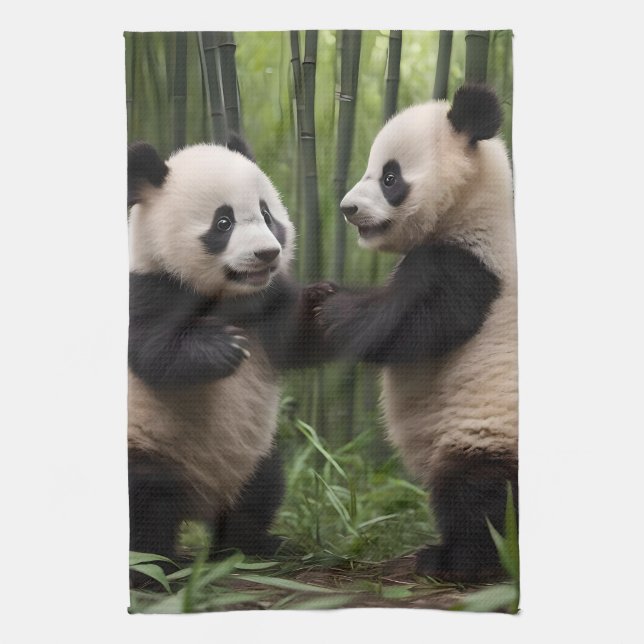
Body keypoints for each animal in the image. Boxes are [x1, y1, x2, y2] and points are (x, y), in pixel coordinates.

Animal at [127, 137, 331, 580]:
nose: (267, 254)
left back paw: (252, 546)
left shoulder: (265, 301)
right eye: (223, 223)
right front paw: (224, 348)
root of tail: (199, 500)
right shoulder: (146, 288)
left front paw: (321, 302)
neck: (227, 295)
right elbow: (153, 350)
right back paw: (152, 566)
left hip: (253, 454)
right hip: (150, 444)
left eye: (267, 215)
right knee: (145, 500)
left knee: (261, 491)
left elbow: (295, 340)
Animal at [318, 85, 517, 582]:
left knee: (479, 494)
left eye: (390, 178)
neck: (472, 210)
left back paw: (461, 561)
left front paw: (330, 309)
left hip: (485, 427)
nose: (348, 209)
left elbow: (407, 328)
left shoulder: (471, 269)